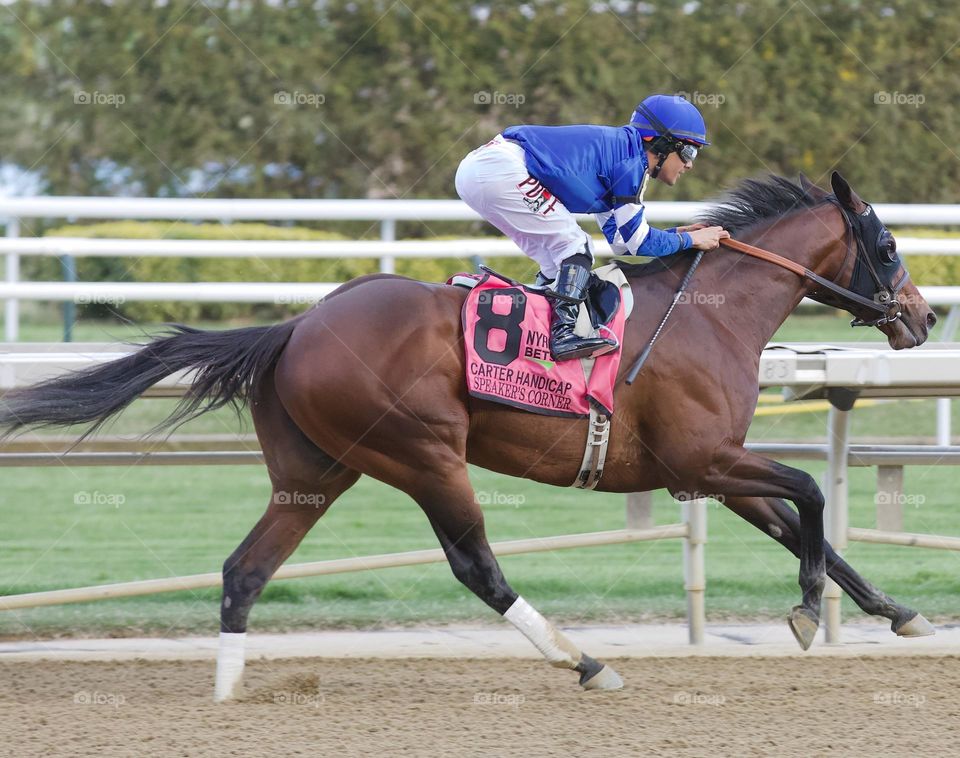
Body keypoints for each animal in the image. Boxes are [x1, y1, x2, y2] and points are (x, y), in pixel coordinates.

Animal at [0, 172, 932, 700]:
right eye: (887, 244)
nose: (922, 319)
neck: (711, 314)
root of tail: (296, 325)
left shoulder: (708, 470)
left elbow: (810, 529)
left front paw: (899, 613)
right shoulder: (705, 458)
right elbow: (810, 496)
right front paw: (807, 610)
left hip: (318, 469)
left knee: (245, 569)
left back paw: (229, 692)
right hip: (424, 455)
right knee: (476, 565)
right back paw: (583, 661)